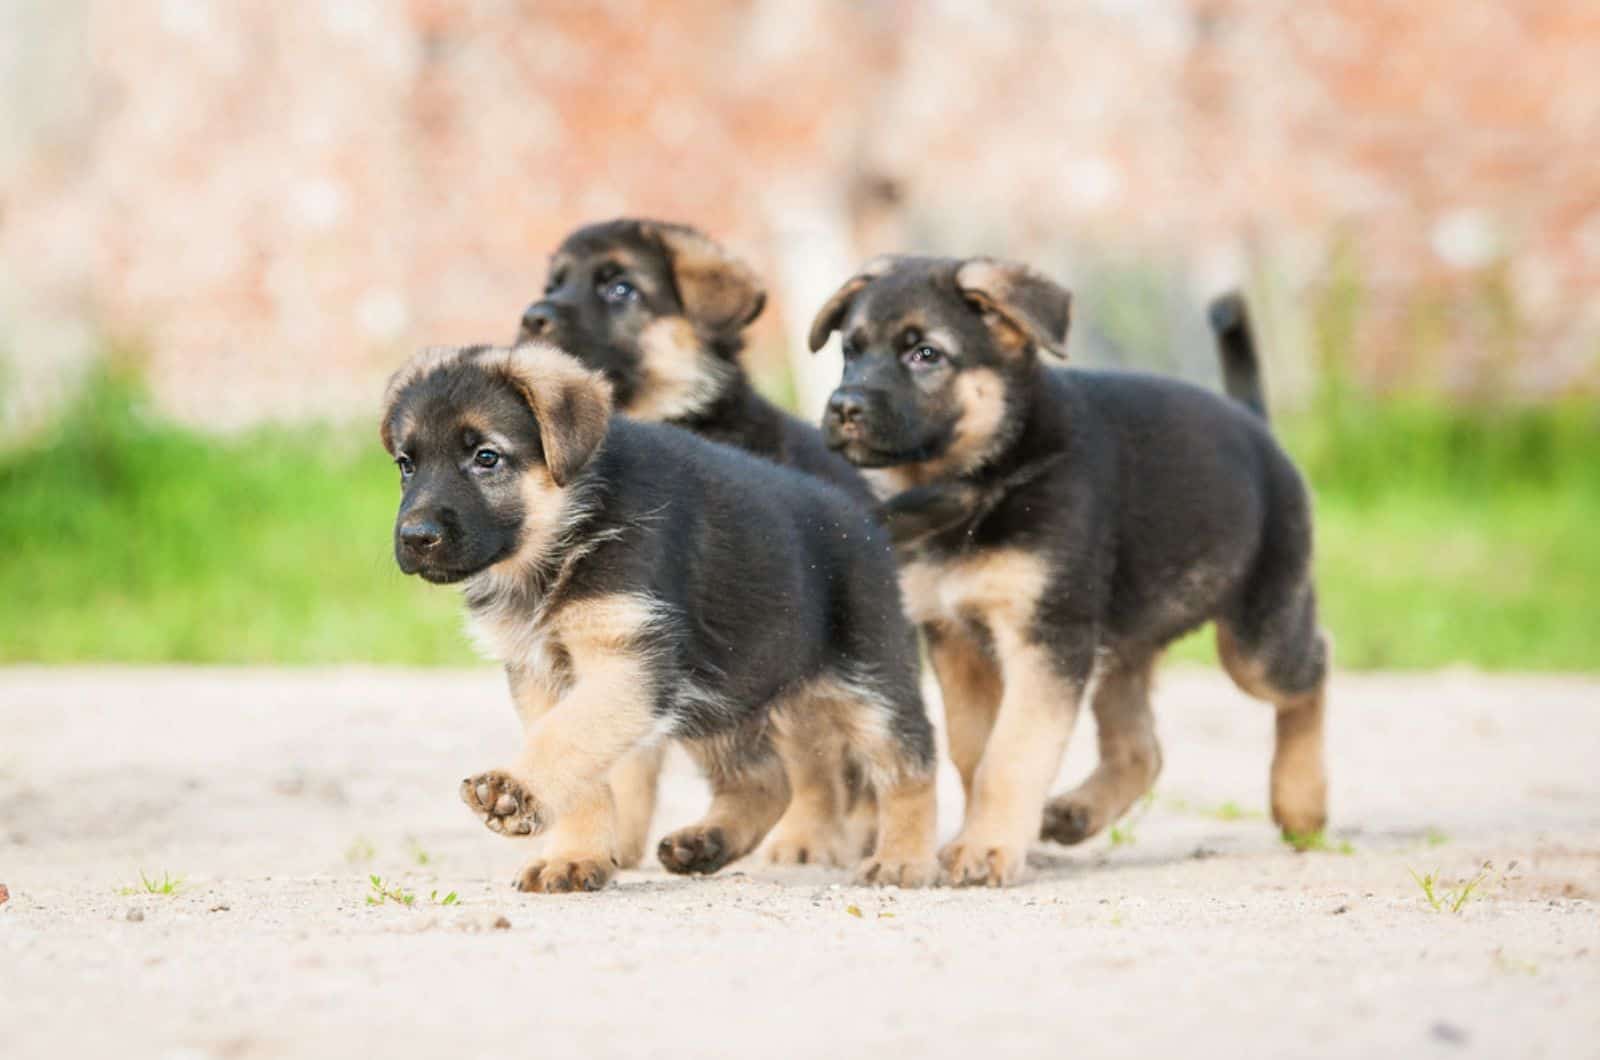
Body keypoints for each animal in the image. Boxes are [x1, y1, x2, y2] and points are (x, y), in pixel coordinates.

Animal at [379, 344, 934, 890]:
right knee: (765, 779)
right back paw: (706, 843)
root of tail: (863, 513)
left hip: (867, 681)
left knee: (911, 761)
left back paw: (903, 859)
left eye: (486, 457)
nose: (415, 538)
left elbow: (564, 736)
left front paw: (517, 790)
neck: (570, 532)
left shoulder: (628, 663)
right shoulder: (542, 675)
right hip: (718, 694)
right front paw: (574, 858)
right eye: (406, 464)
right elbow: (581, 764)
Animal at [515, 222, 876, 871]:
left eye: (620, 288)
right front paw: (610, 846)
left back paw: (810, 835)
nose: (533, 317)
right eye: (553, 284)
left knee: (821, 751)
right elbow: (620, 747)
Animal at [812, 259, 1324, 890]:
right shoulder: (955, 639)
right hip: (1119, 644)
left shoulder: (1047, 638)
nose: (843, 408)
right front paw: (983, 839)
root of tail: (1259, 429)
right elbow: (975, 750)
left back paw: (1301, 803)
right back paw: (1078, 813)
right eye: (850, 352)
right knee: (1142, 749)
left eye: (925, 354)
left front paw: (986, 847)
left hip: (1255, 642)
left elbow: (1011, 752)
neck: (988, 478)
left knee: (1311, 672)